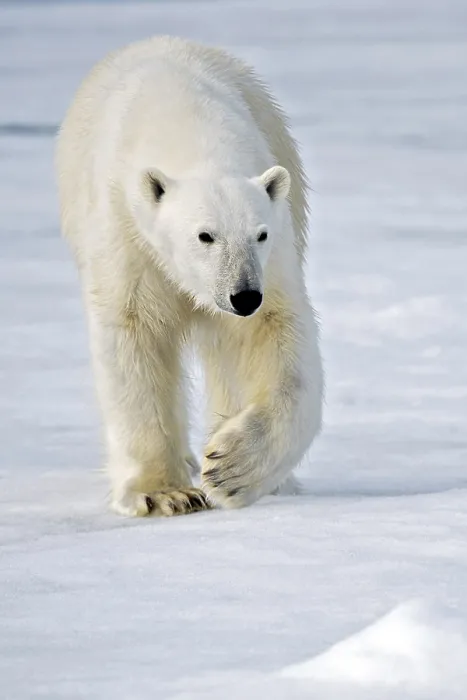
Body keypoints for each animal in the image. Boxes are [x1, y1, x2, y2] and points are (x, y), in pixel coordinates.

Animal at [56, 35, 323, 517]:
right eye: (205, 235)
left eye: (259, 233)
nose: (243, 296)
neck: (189, 126)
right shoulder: (127, 234)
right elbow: (134, 335)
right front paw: (164, 492)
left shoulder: (274, 254)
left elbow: (274, 334)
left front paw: (231, 467)